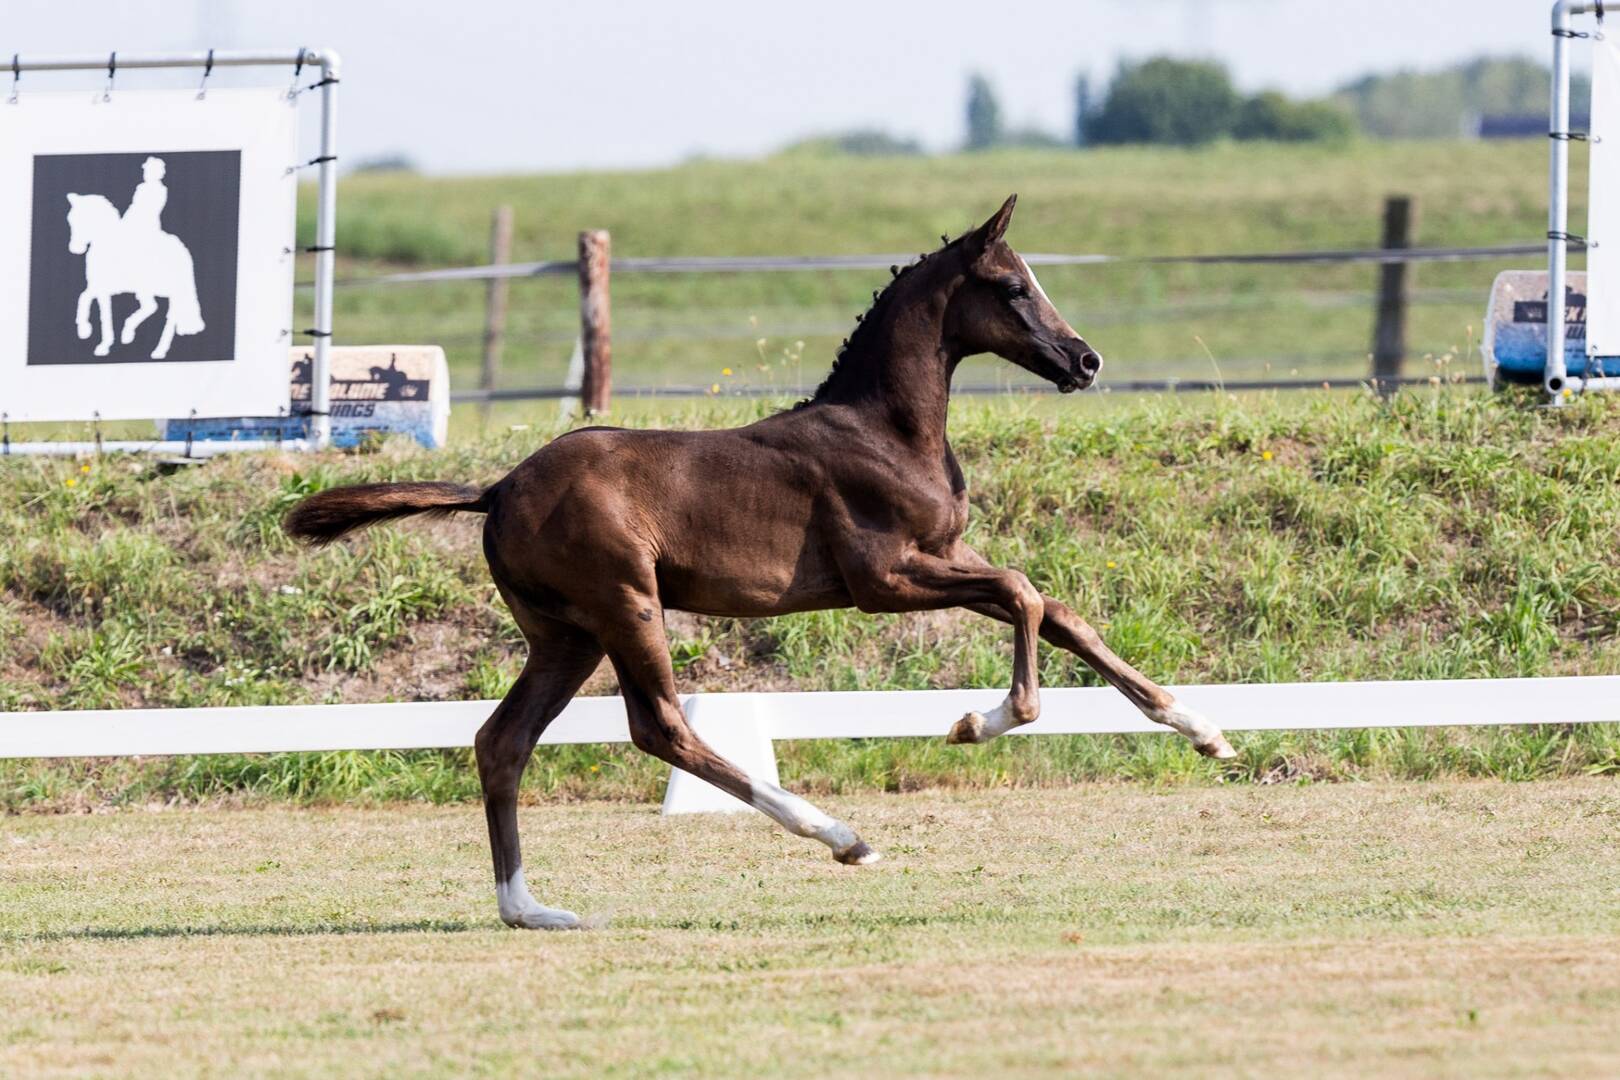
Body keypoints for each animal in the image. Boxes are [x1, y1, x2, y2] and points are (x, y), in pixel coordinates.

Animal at [64, 193, 205, 360]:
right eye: (71, 219)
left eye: (85, 219)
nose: (75, 249)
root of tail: (183, 251)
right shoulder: (98, 286)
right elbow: (84, 298)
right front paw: (85, 330)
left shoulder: (103, 289)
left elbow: (103, 314)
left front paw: (103, 345)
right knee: (158, 309)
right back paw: (145, 343)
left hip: (161, 289)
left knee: (162, 311)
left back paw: (149, 345)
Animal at [285, 196, 1236, 930]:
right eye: (1011, 286)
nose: (1085, 360)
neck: (886, 429)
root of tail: (498, 486)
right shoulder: (885, 579)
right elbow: (1025, 595)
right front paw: (981, 721)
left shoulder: (943, 553)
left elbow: (1057, 610)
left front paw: (1206, 732)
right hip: (627, 604)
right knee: (660, 728)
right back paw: (842, 837)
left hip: (566, 636)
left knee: (502, 740)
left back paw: (529, 908)